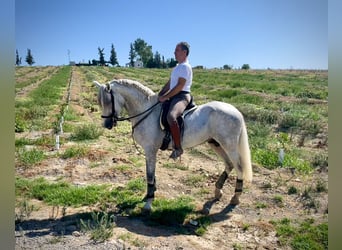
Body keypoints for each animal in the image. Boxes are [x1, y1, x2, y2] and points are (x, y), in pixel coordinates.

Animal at [93, 79, 251, 212]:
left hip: (229, 145)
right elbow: (151, 175)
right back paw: (218, 191)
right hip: (215, 143)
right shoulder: (149, 152)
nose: (106, 124)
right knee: (229, 164)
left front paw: (148, 203)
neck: (146, 111)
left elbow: (149, 175)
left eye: (108, 101)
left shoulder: (150, 150)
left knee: (239, 167)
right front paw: (149, 195)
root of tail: (235, 111)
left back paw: (235, 197)